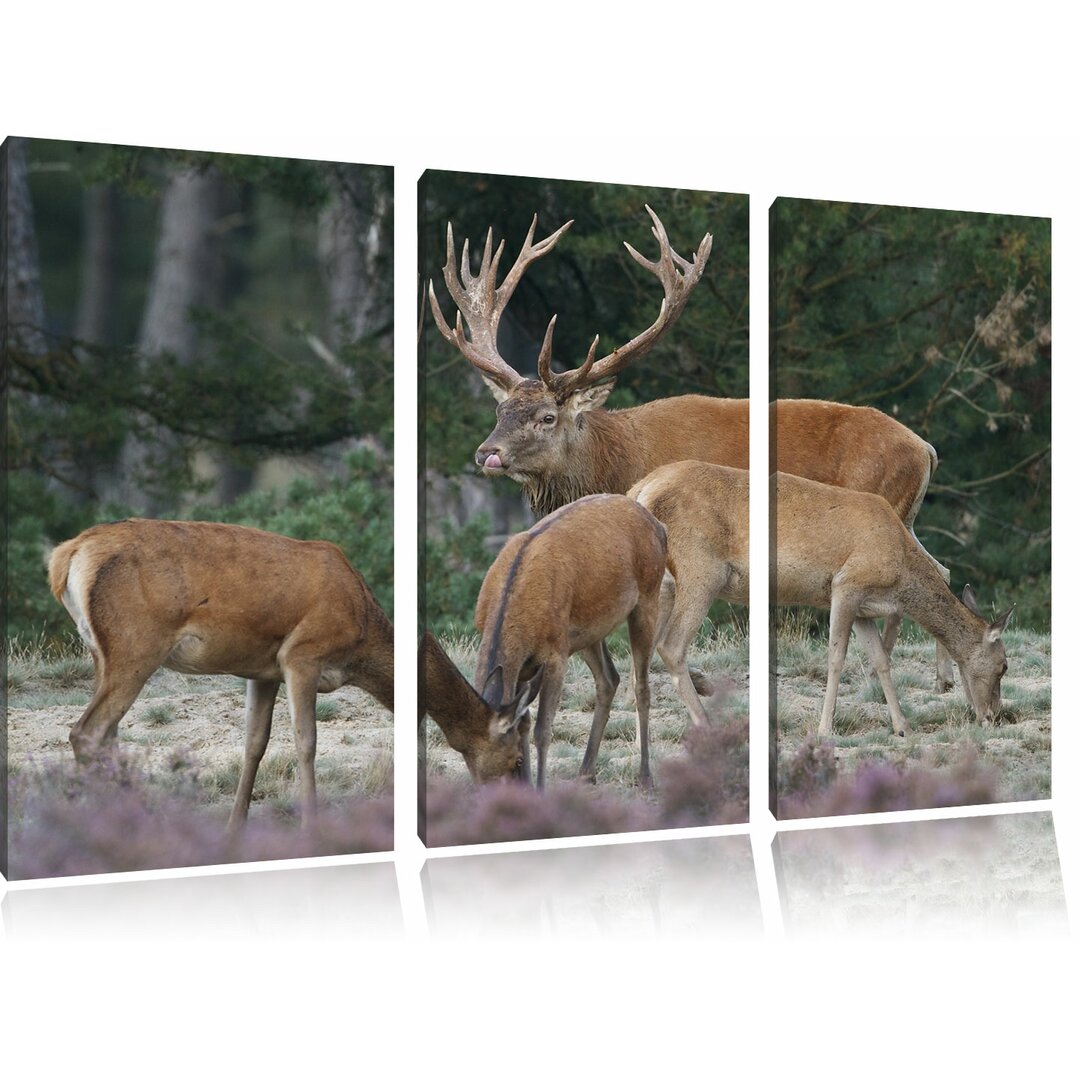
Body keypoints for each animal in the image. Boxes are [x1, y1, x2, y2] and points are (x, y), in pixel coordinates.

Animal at [49, 518, 397, 829]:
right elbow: (306, 741)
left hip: (100, 653)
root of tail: (65, 556)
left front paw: (235, 826)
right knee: (87, 731)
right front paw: (311, 826)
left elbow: (255, 743)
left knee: (109, 734)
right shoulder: (301, 654)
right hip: (135, 647)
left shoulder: (264, 671)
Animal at [425, 210, 950, 691]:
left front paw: (693, 679)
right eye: (501, 410)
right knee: (938, 568)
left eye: (547, 417)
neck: (616, 462)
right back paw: (944, 680)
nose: (486, 453)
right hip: (905, 515)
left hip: (880, 505)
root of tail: (925, 448)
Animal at [473, 494, 665, 790]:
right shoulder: (524, 668)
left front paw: (540, 789)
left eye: (509, 760)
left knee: (641, 686)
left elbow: (542, 729)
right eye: (469, 761)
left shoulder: (555, 654)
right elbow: (523, 723)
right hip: (587, 632)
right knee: (609, 679)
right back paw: (586, 772)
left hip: (647, 597)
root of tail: (659, 526)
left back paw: (645, 777)